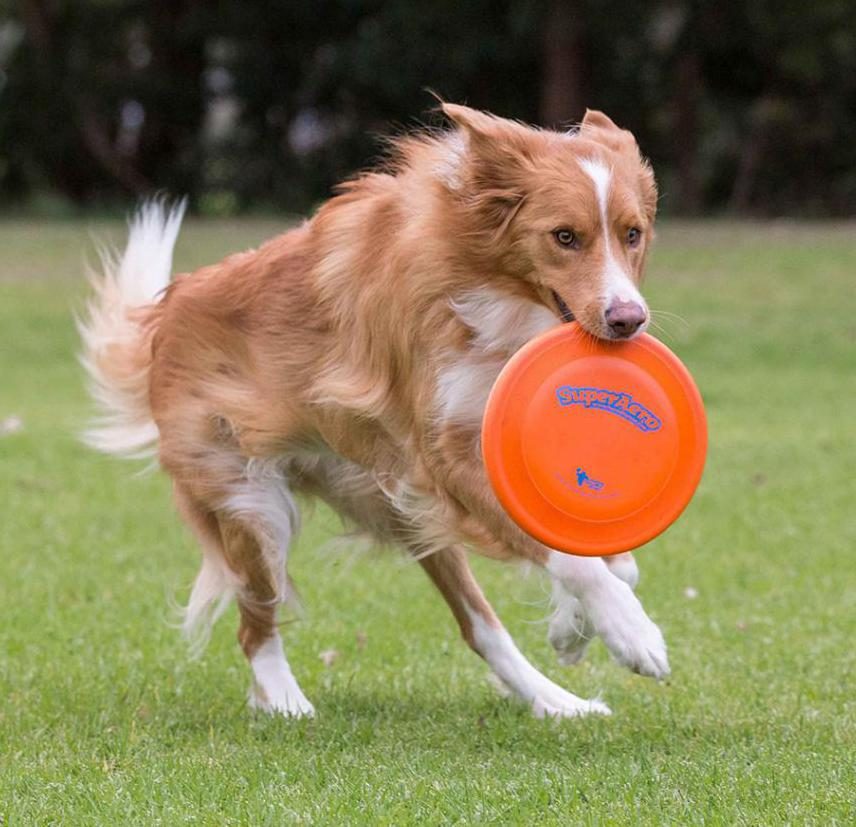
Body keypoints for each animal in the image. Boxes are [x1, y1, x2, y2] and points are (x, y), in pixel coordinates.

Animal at [80, 106, 664, 720]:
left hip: (395, 501)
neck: (495, 291)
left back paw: (556, 702)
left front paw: (573, 629)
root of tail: (165, 313)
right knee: (254, 625)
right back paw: (286, 703)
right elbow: (573, 558)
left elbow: (609, 557)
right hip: (252, 501)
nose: (629, 320)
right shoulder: (446, 460)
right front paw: (631, 633)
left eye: (632, 234)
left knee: (480, 628)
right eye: (564, 237)